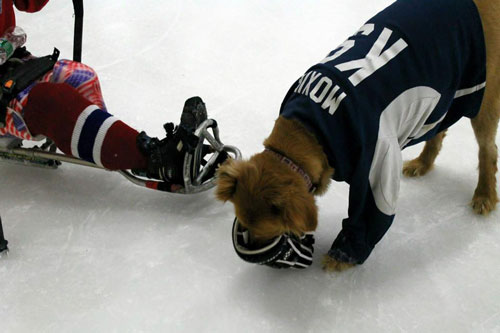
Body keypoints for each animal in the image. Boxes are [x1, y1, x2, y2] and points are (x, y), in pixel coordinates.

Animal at [217, 0, 498, 270]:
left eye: (263, 231)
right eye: (243, 224)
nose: (251, 247)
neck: (309, 131)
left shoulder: (378, 163)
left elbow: (368, 216)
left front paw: (341, 256)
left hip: (480, 97)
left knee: (488, 150)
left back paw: (484, 194)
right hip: (446, 93)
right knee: (439, 131)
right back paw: (423, 163)